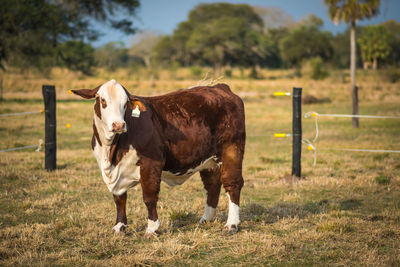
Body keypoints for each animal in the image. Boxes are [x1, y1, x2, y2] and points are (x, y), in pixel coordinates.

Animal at [73, 80, 245, 237]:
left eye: (126, 103)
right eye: (103, 100)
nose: (118, 125)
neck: (111, 152)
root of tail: (219, 87)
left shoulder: (151, 164)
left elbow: (149, 197)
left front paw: (152, 228)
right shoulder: (113, 173)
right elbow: (119, 198)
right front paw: (119, 226)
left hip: (231, 150)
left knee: (232, 184)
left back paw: (232, 224)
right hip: (208, 160)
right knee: (212, 185)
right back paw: (206, 219)